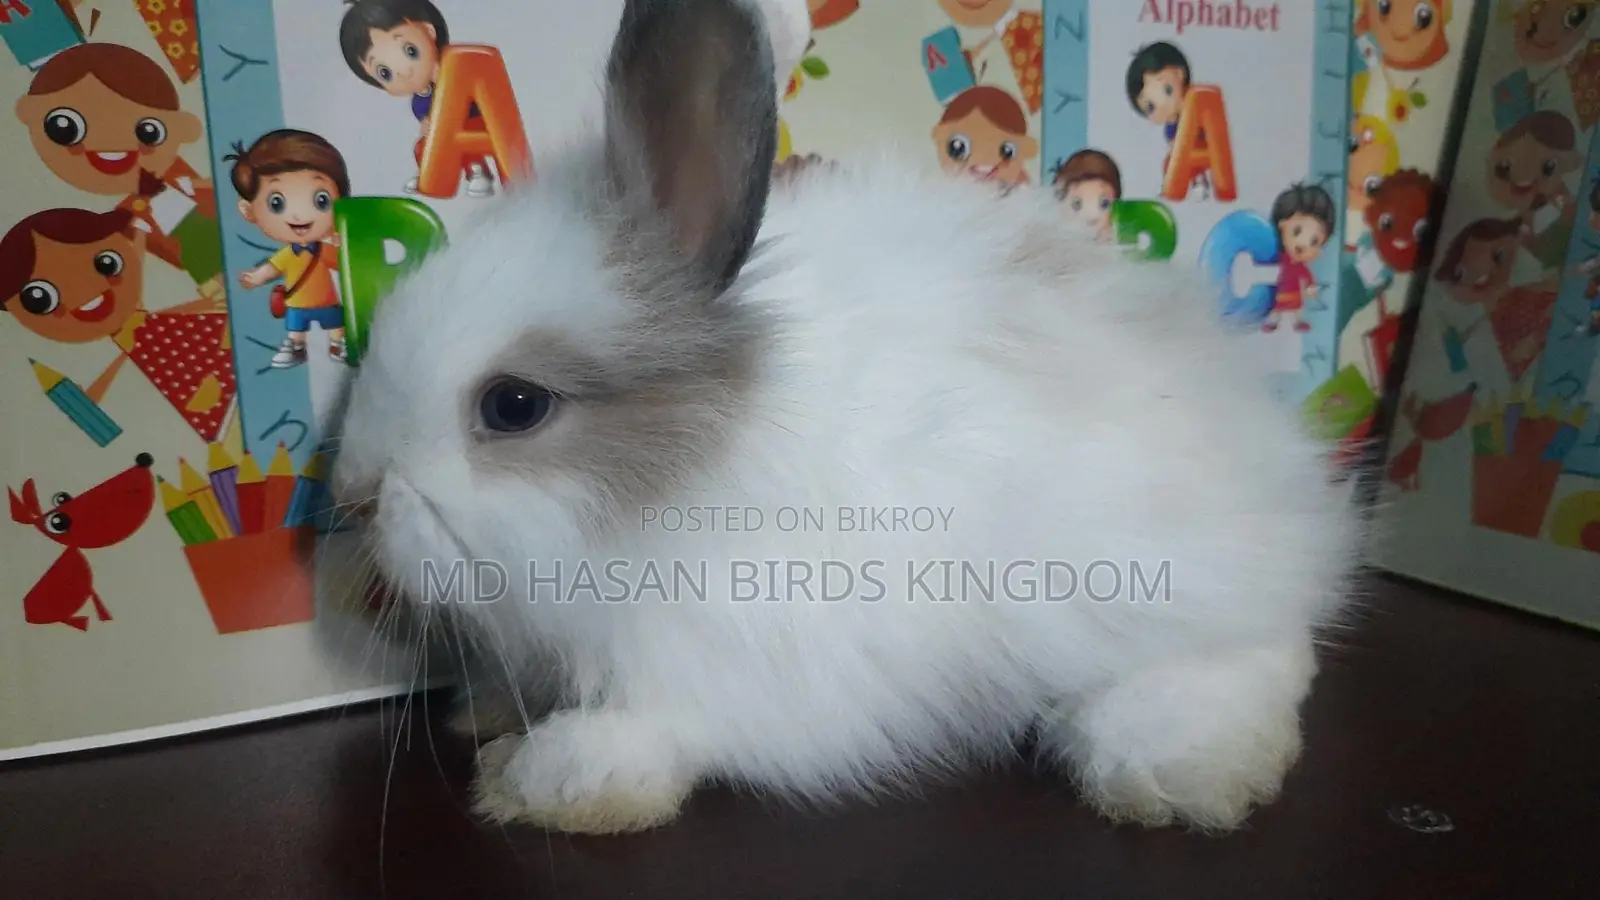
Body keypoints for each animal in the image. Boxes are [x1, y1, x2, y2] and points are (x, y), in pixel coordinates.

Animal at [331, 0, 1367, 836]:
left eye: (514, 405)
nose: (351, 494)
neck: (681, 481)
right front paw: (483, 712)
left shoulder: (722, 667)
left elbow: (640, 735)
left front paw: (536, 783)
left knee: (1264, 662)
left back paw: (1167, 770)